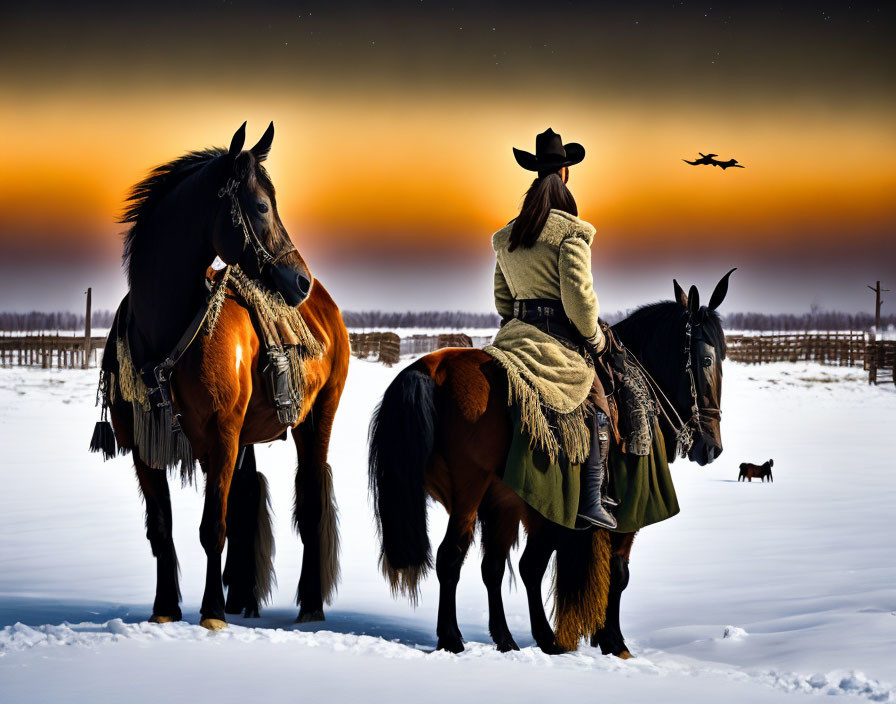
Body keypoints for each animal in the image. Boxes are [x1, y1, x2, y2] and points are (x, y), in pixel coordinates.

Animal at [99, 124, 350, 628]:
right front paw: (165, 609)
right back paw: (243, 599)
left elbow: (213, 525)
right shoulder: (145, 445)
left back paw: (309, 606)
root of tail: (327, 306)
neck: (164, 331)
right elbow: (163, 528)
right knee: (247, 498)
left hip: (317, 417)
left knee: (310, 505)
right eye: (260, 206)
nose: (300, 281)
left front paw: (211, 612)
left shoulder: (221, 433)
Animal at [368, 270, 732, 656]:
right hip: (471, 493)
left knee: (493, 565)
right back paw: (452, 637)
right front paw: (614, 642)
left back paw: (508, 638)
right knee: (451, 556)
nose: (712, 446)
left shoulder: (543, 511)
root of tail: (431, 370)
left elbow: (531, 567)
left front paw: (568, 637)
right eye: (707, 361)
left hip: (500, 500)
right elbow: (616, 573)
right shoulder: (625, 512)